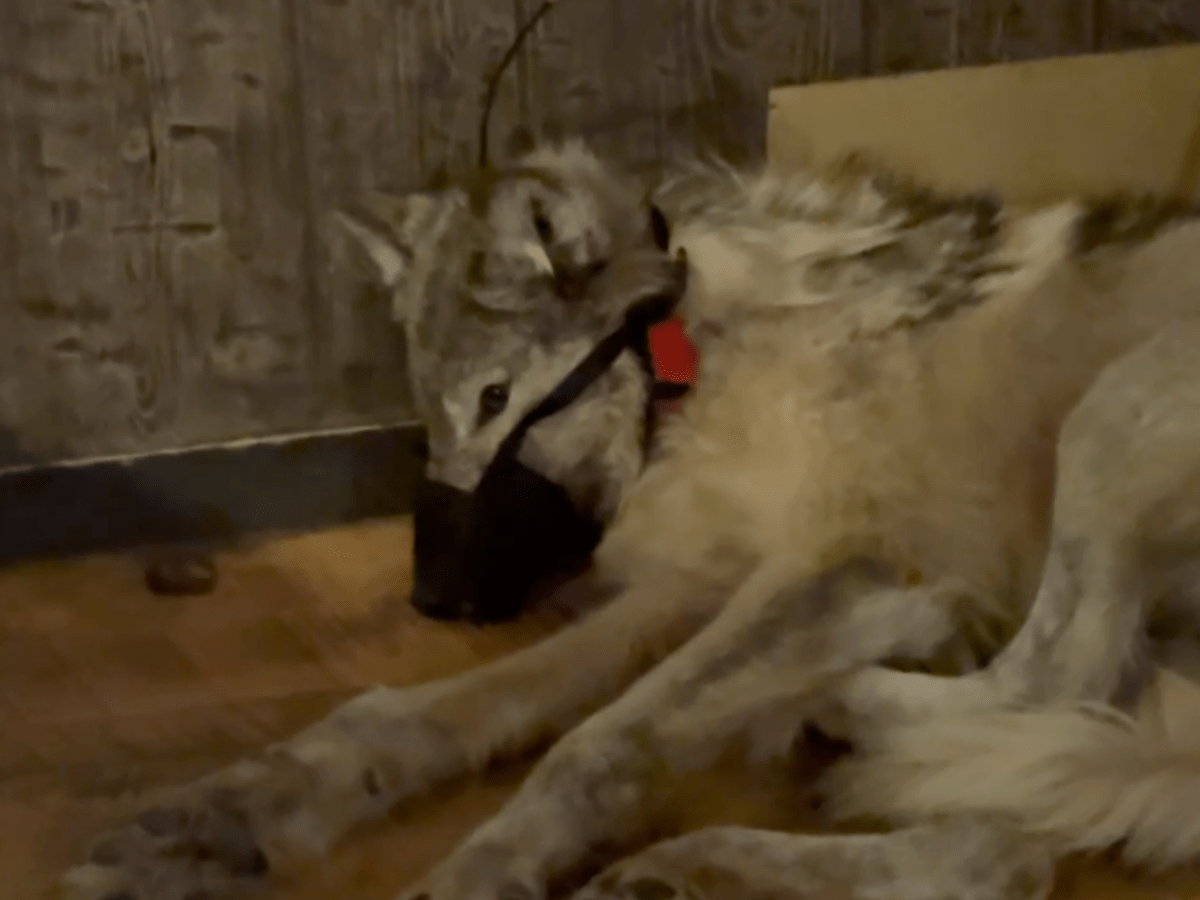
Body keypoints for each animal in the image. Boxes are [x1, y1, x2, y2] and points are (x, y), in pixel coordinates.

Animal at [60, 134, 1200, 900]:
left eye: (496, 400)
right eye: (432, 417)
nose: (430, 600)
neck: (703, 363)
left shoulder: (849, 565)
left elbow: (595, 747)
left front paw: (479, 869)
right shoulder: (697, 578)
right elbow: (437, 710)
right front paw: (235, 809)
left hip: (1108, 420)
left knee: (1051, 692)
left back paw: (840, 712)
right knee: (1002, 847)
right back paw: (694, 865)